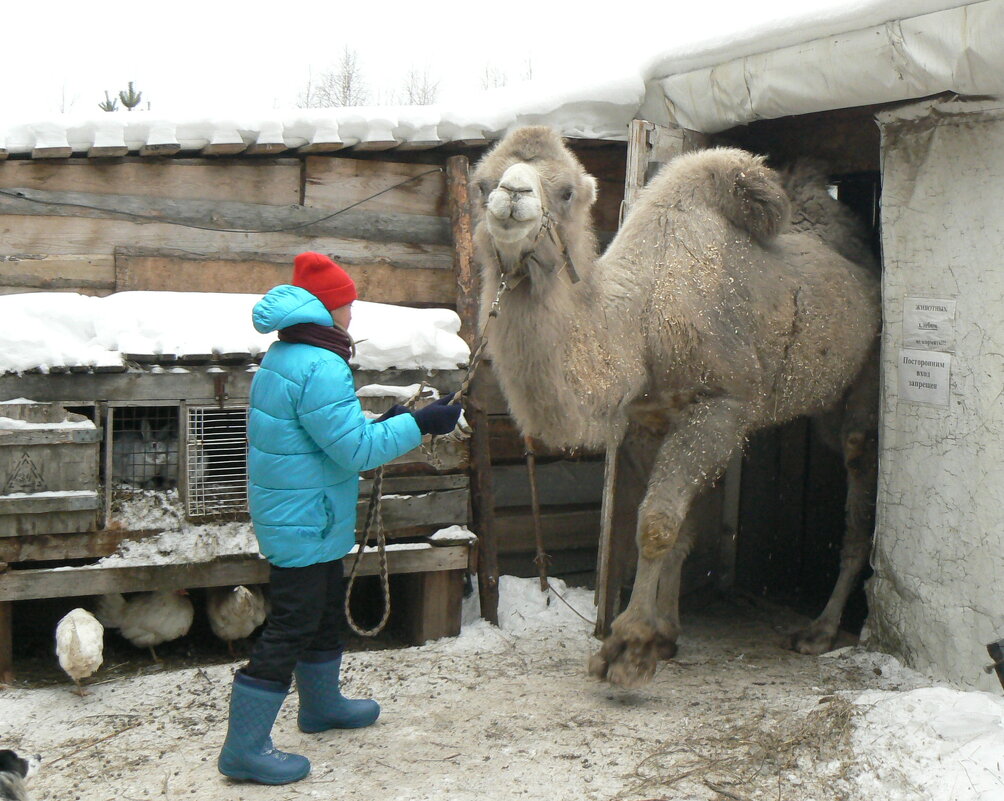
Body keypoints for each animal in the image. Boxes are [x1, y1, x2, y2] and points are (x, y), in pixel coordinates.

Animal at [469, 126, 879, 690]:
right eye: (481, 182)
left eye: (567, 191)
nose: (512, 195)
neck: (641, 325)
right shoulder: (647, 422)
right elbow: (676, 531)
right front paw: (664, 634)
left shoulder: (718, 407)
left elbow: (656, 524)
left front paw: (628, 649)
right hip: (823, 405)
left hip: (864, 385)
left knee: (860, 492)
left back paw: (819, 631)